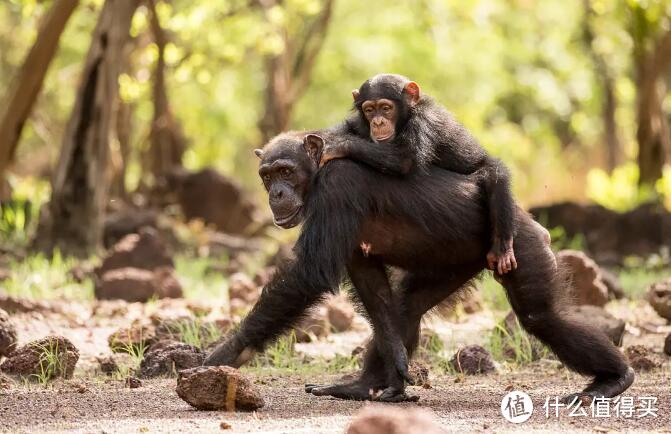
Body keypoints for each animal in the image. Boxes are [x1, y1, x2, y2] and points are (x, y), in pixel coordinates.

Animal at [205, 131, 636, 402]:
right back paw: (362, 386)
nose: (276, 192)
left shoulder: (338, 189)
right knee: (405, 307)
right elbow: (370, 282)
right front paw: (394, 366)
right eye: (267, 175)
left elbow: (310, 271)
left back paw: (613, 379)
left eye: (286, 171)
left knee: (542, 317)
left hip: (522, 248)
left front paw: (227, 352)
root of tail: (533, 225)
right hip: (452, 265)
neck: (320, 169)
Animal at [322, 71, 516, 274]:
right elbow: (347, 128)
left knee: (495, 174)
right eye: (369, 110)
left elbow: (404, 159)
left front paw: (336, 146)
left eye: (385, 108)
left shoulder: (425, 121)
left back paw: (502, 248)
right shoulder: (360, 125)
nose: (377, 122)